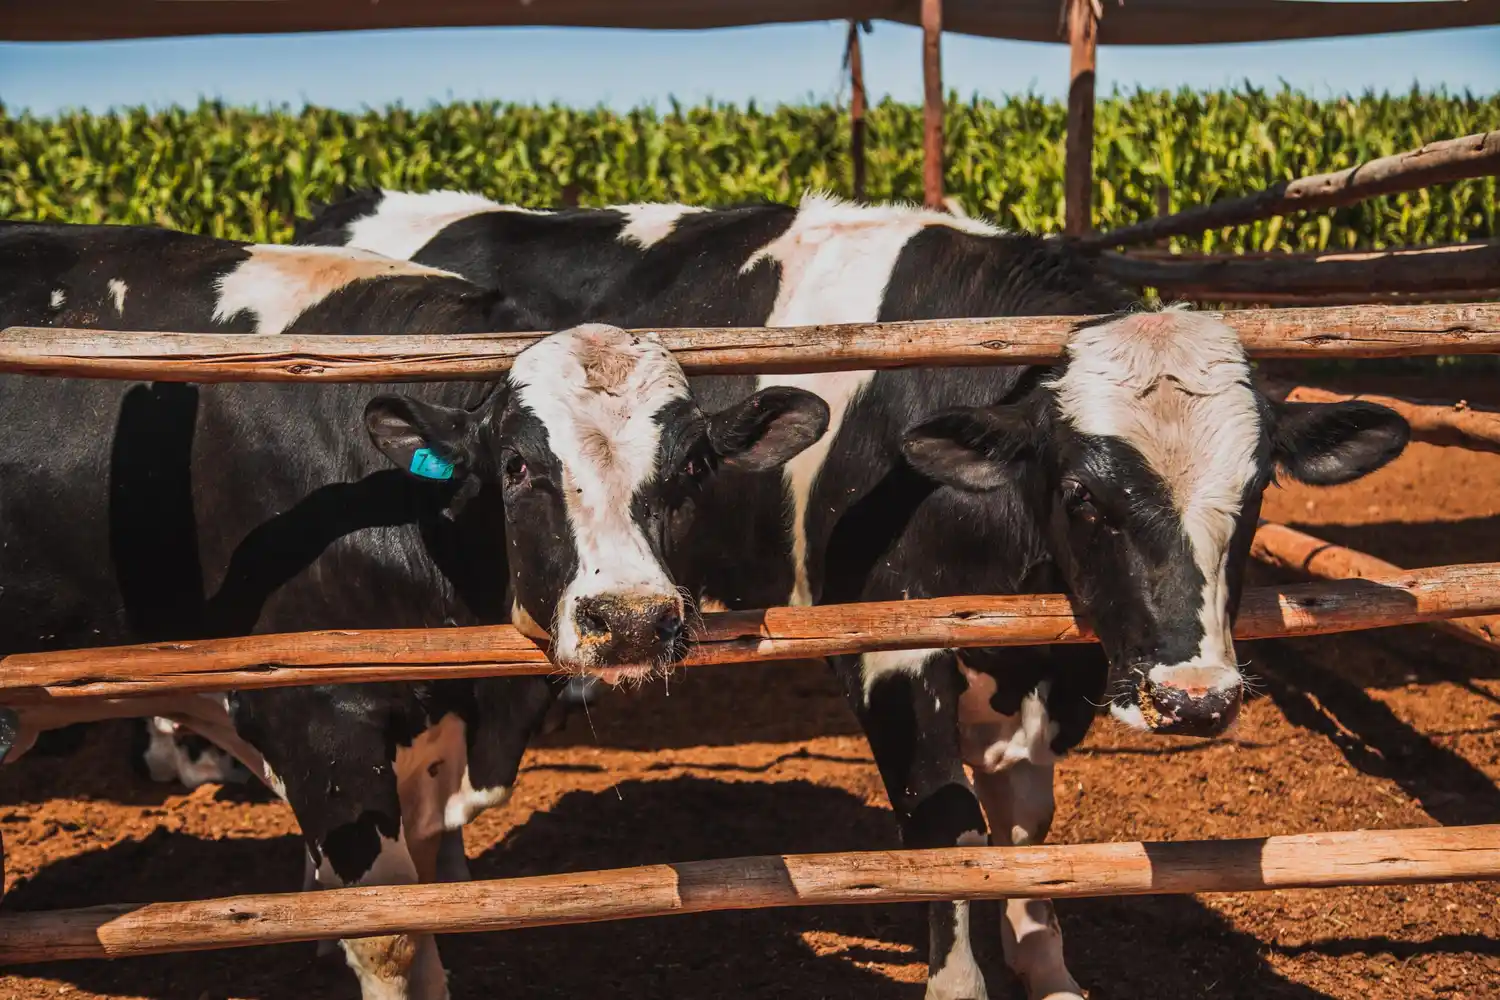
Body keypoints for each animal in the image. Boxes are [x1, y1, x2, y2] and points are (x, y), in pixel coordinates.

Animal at [0, 221, 830, 999]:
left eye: (694, 465)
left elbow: (431, 910)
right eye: (516, 465)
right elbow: (389, 933)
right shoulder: (314, 720)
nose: (628, 620)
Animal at [300, 190, 1411, 1000]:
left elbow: (1027, 826)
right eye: (1086, 496)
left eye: (1257, 489)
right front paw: (965, 979)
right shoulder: (892, 648)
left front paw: (1046, 963)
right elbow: (948, 836)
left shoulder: (1048, 666)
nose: (1195, 697)